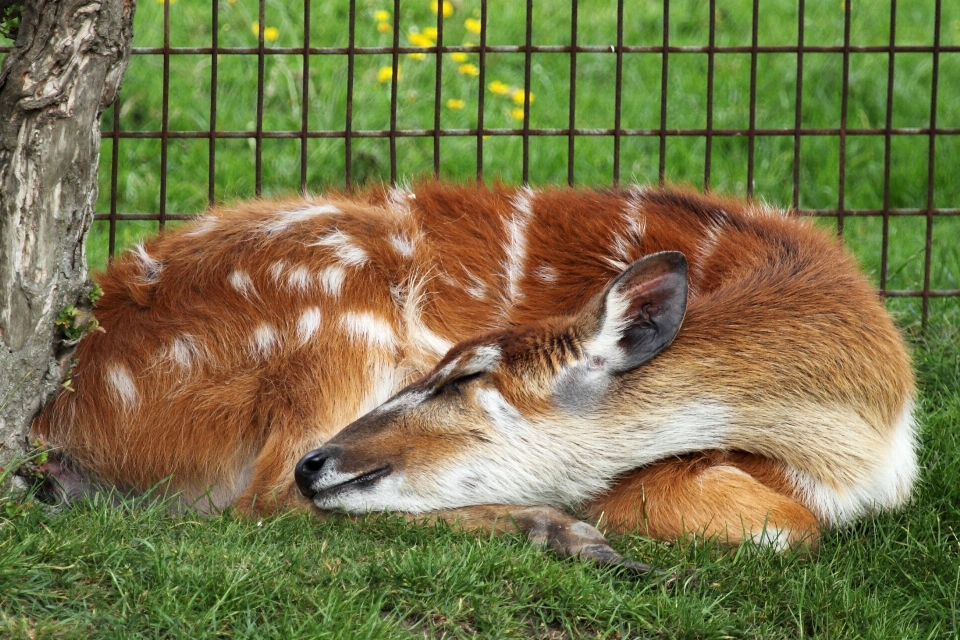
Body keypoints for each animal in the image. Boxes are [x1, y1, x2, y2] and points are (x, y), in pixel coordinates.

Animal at [28, 180, 916, 564]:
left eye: (464, 380)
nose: (327, 460)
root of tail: (54, 418)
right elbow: (779, 523)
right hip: (338, 311)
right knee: (266, 502)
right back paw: (562, 532)